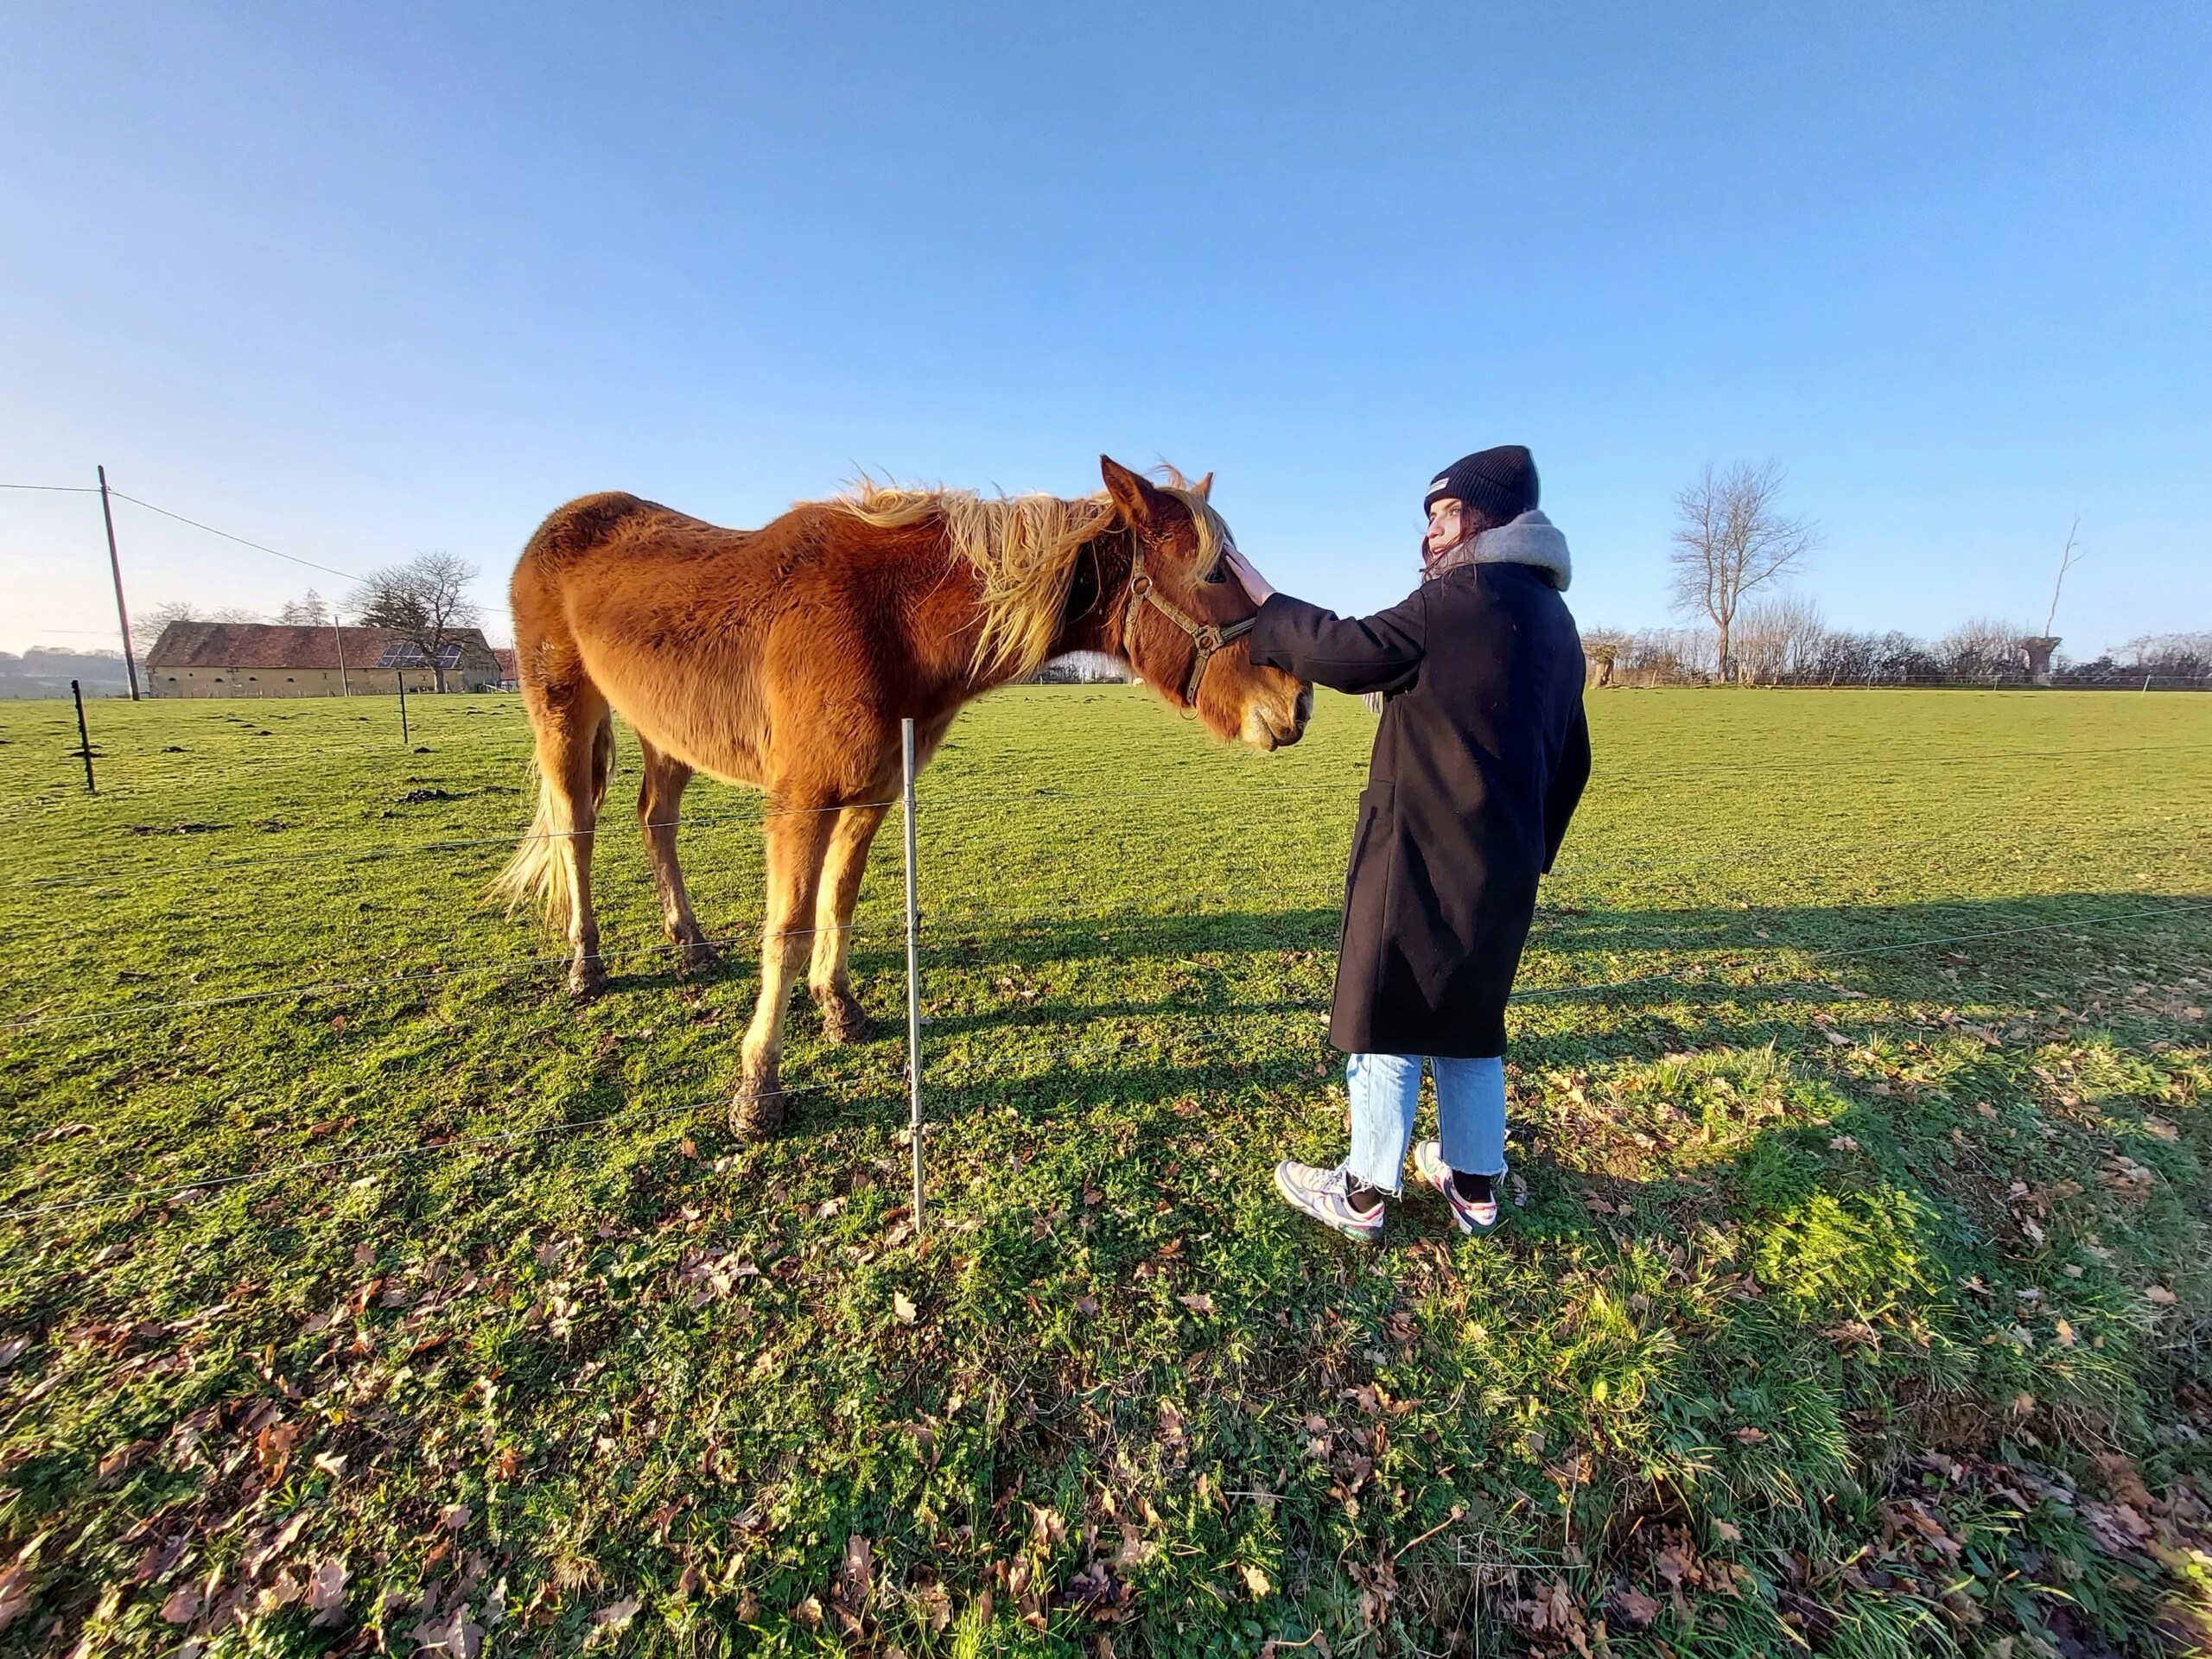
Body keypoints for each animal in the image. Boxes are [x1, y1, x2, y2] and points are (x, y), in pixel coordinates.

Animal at [491, 457, 1300, 1141]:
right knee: (577, 833)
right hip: (564, 711)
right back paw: (586, 964)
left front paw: (839, 1008)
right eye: (1216, 572)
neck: (888, 620)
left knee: (655, 821)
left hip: (668, 734)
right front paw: (758, 1087)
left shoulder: (873, 795)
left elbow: (838, 903)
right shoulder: (801, 801)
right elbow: (787, 932)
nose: (1297, 703)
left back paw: (688, 944)